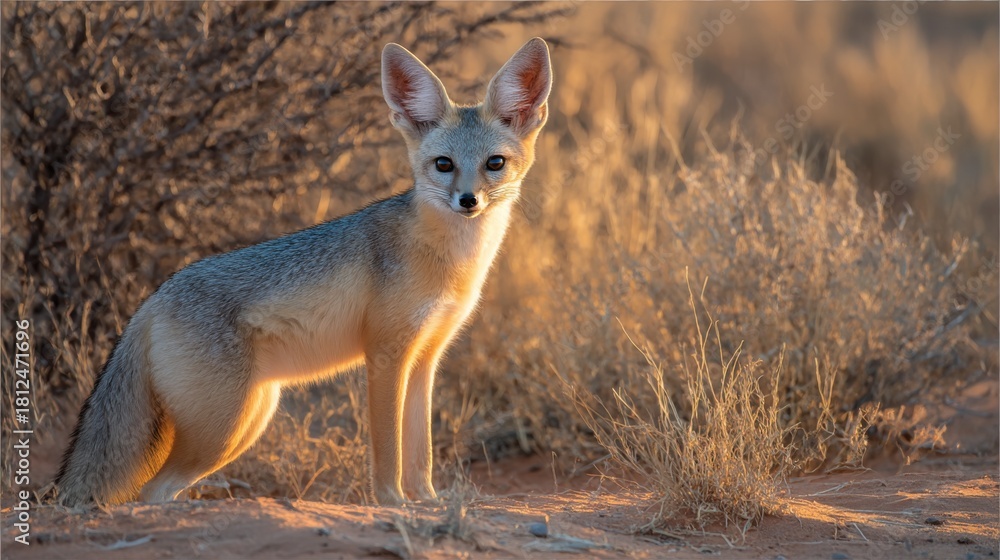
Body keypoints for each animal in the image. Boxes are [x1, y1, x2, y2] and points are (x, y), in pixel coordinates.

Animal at [56, 37, 552, 507]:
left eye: (494, 163)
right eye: (443, 165)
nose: (468, 201)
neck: (451, 259)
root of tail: (151, 300)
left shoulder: (425, 358)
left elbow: (421, 452)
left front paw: (427, 500)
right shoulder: (386, 356)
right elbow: (388, 451)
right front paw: (392, 503)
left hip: (250, 419)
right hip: (225, 428)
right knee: (150, 492)